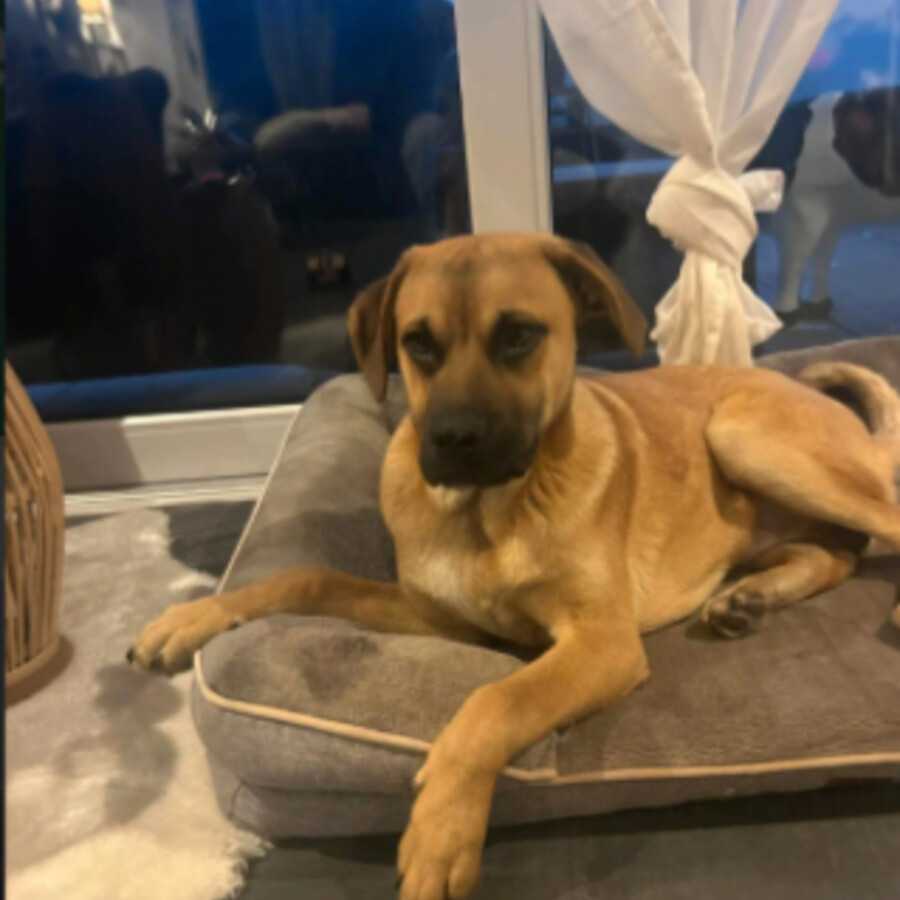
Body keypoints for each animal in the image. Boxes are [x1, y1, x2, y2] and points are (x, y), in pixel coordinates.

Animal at [130, 233, 900, 900]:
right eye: (418, 344)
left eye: (520, 336)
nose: (452, 441)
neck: (486, 515)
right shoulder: (434, 615)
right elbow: (305, 577)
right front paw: (191, 617)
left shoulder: (602, 641)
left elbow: (495, 700)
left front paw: (441, 830)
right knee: (835, 553)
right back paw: (750, 599)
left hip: (744, 434)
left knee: (882, 526)